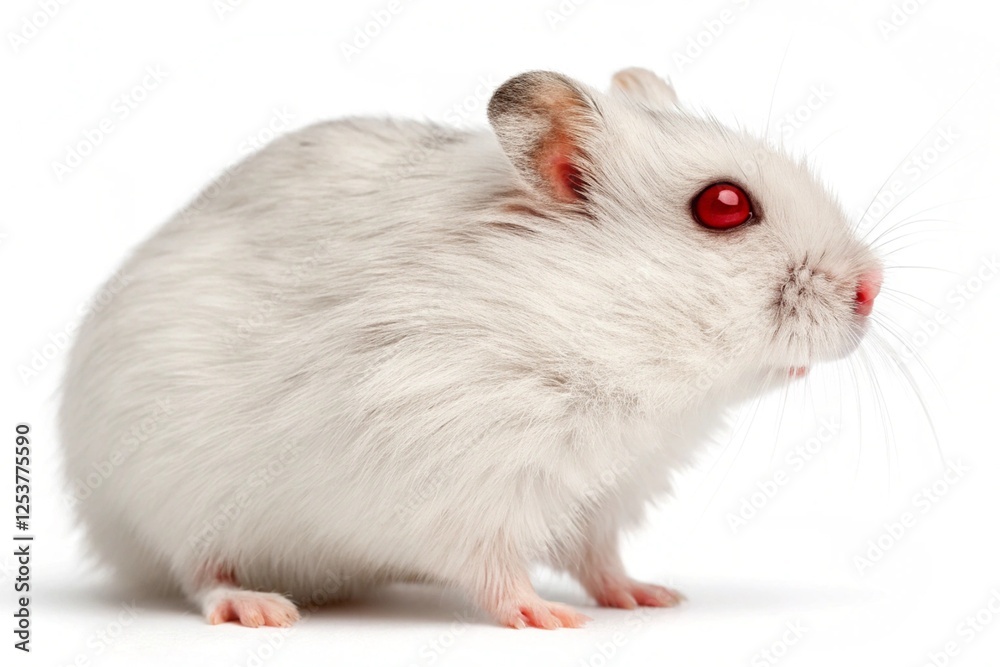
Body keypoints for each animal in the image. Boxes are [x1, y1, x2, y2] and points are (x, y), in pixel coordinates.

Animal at [59, 68, 883, 629]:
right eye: (723, 205)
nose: (873, 290)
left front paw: (652, 598)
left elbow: (600, 557)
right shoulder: (458, 477)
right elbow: (491, 564)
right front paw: (550, 618)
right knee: (199, 569)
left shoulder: (606, 494)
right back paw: (261, 607)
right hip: (168, 495)